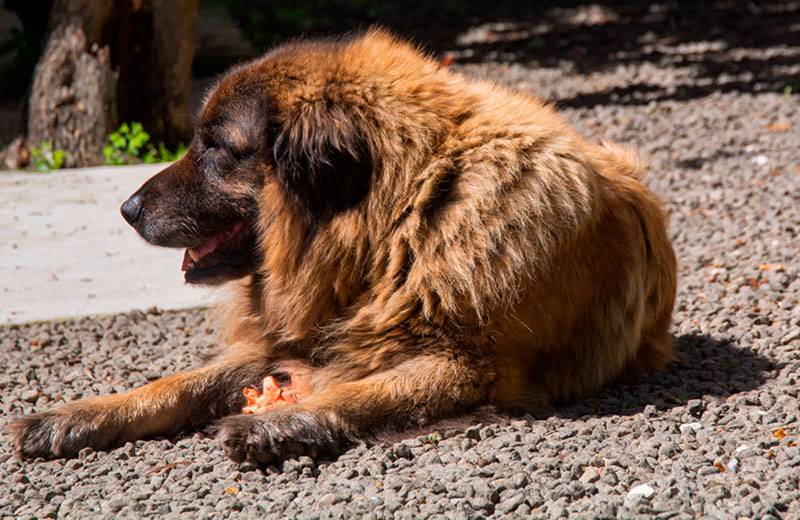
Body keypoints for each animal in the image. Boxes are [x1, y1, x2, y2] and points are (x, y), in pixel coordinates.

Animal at [10, 29, 676, 464]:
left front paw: (279, 424)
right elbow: (174, 384)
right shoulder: (290, 332)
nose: (127, 210)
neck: (402, 221)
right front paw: (78, 415)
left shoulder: (472, 367)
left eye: (217, 148)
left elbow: (362, 392)